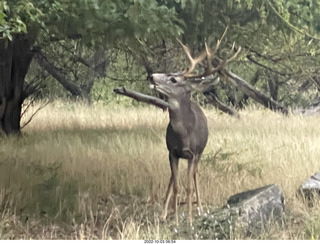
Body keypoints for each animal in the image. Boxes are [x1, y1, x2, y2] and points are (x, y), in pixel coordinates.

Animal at [148, 30, 240, 225]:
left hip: (200, 152)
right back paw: (164, 213)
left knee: (196, 174)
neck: (183, 134)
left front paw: (189, 219)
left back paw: (199, 209)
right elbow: (176, 185)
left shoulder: (193, 153)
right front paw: (174, 219)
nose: (151, 76)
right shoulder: (172, 152)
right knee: (172, 179)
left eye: (173, 79)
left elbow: (189, 186)